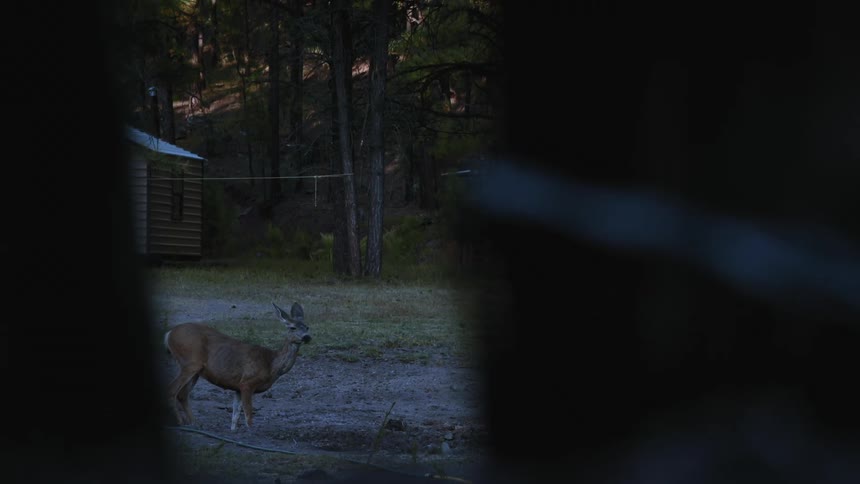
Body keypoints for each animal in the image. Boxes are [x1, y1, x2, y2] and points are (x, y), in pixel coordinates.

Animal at [164, 302, 311, 431]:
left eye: (307, 327)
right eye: (292, 327)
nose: (307, 337)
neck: (271, 365)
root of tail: (169, 334)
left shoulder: (237, 387)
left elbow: (235, 416)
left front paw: (233, 431)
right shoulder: (247, 382)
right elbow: (248, 416)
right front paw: (251, 431)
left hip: (197, 369)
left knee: (182, 394)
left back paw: (195, 424)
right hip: (190, 362)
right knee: (172, 390)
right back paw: (180, 423)